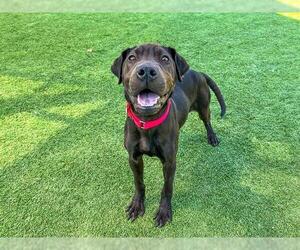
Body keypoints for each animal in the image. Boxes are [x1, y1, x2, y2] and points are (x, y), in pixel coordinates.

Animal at [111, 44, 226, 228]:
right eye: (132, 58)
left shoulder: (169, 162)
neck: (148, 121)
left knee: (207, 121)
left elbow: (167, 188)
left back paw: (212, 137)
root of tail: (198, 72)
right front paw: (137, 205)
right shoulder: (134, 158)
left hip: (203, 106)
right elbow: (138, 182)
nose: (146, 70)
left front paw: (164, 212)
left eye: (165, 58)